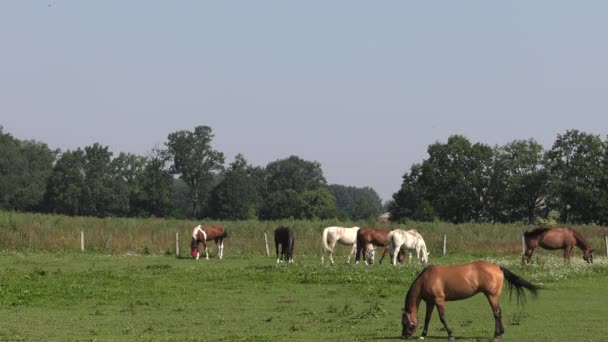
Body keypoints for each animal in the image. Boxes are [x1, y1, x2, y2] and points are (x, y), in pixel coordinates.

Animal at [402, 260, 540, 340]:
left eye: (404, 322)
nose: (403, 336)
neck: (426, 278)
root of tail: (498, 267)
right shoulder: (430, 302)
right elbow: (427, 318)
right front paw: (422, 335)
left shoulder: (439, 300)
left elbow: (442, 318)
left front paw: (450, 335)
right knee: (499, 313)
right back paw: (500, 333)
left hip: (491, 296)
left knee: (496, 313)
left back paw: (496, 336)